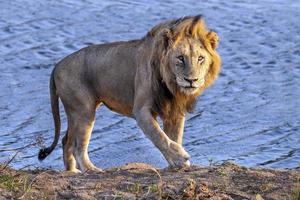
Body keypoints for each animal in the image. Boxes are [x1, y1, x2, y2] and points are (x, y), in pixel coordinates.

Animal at [37, 14, 221, 173]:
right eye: (180, 58)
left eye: (200, 58)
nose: (192, 80)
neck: (171, 85)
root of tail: (57, 66)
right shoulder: (141, 110)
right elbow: (160, 136)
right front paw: (180, 157)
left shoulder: (174, 111)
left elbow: (174, 136)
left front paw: (175, 162)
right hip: (84, 110)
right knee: (77, 146)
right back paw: (91, 169)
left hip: (75, 112)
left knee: (66, 141)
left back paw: (72, 171)